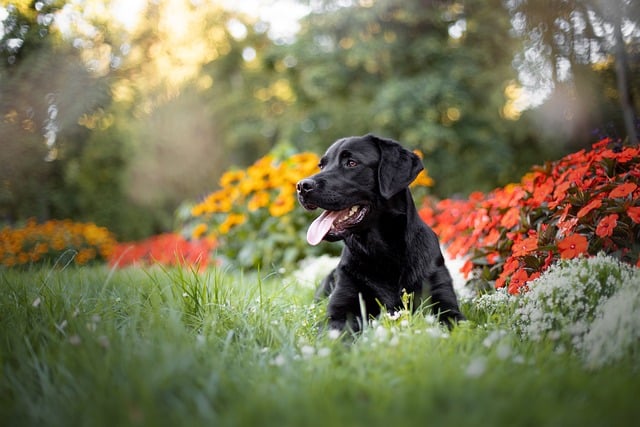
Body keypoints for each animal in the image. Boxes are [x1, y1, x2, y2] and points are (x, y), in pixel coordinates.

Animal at [296, 135, 464, 332]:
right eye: (322, 165)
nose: (301, 186)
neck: (384, 254)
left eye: (351, 163)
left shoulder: (442, 298)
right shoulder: (341, 309)